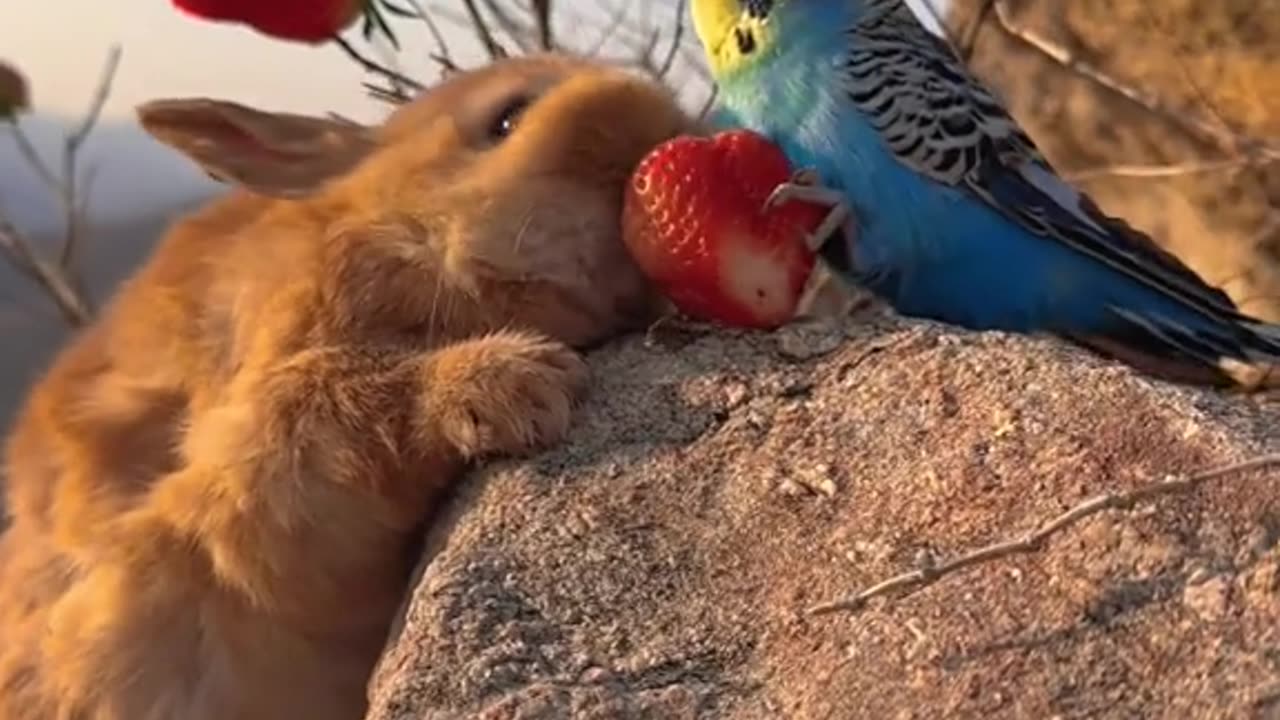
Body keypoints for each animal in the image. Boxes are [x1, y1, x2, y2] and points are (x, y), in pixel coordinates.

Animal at [0, 54, 691, 717]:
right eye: (507, 118)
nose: (663, 137)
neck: (394, 232)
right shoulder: (250, 477)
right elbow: (344, 402)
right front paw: (518, 381)